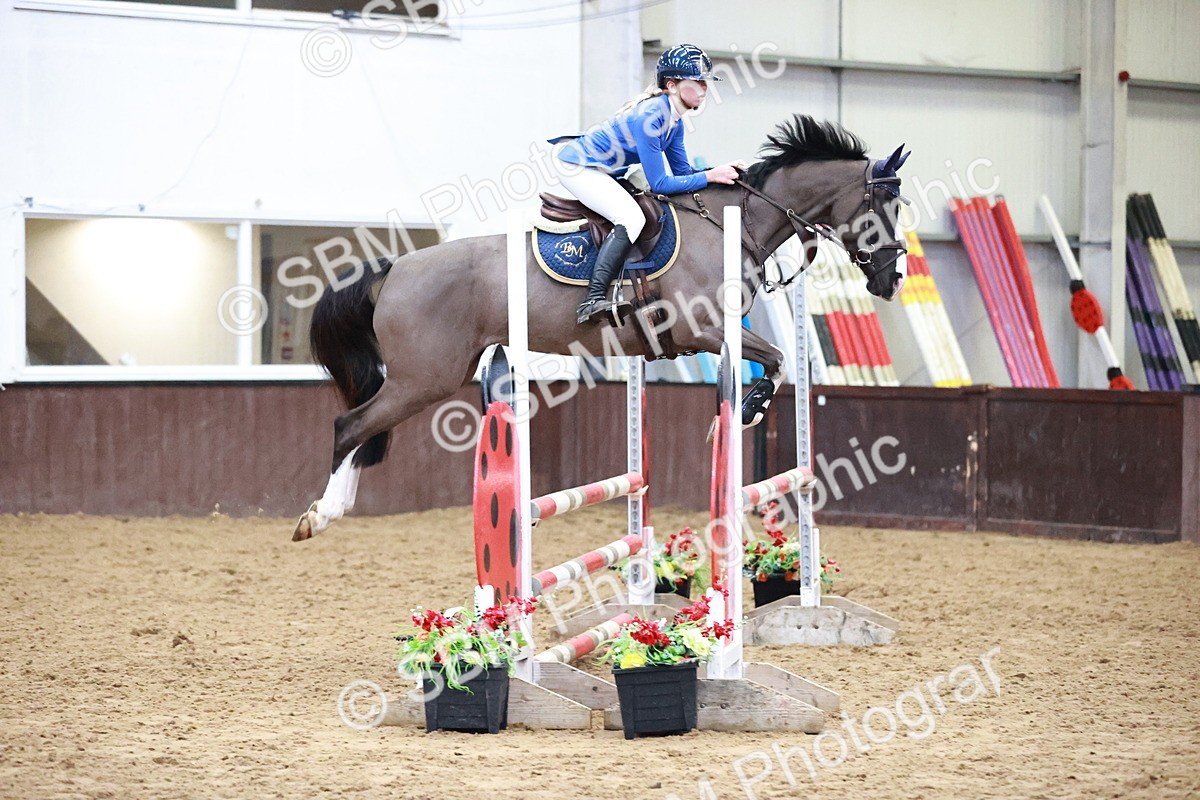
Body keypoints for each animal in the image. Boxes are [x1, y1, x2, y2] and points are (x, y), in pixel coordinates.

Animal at [292, 114, 911, 541]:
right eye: (885, 208)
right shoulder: (704, 331)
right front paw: (743, 412)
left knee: (363, 427)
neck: (733, 225)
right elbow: (777, 361)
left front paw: (742, 411)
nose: (894, 278)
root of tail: (396, 266)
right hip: (425, 378)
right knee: (350, 425)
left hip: (439, 374)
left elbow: (777, 363)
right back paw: (320, 515)